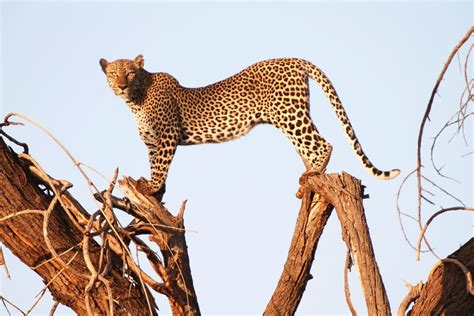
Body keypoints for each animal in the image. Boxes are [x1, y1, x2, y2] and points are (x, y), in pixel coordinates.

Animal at [100, 55, 400, 196]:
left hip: (289, 114)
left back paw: (314, 173)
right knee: (308, 147)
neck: (136, 101)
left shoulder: (167, 137)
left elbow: (160, 167)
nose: (121, 85)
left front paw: (151, 188)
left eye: (130, 73)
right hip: (290, 117)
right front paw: (156, 190)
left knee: (323, 143)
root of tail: (295, 59)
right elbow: (155, 165)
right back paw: (306, 182)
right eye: (113, 73)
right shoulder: (152, 143)